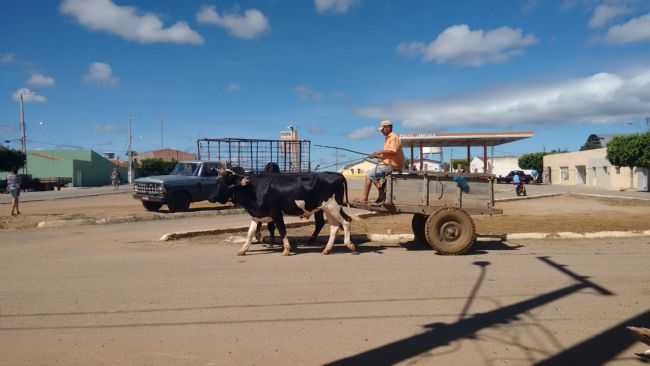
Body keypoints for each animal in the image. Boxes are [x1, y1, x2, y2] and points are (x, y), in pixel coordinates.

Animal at [213, 171, 354, 254]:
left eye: (225, 182)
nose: (214, 197)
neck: (254, 189)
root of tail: (337, 174)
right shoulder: (257, 215)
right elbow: (250, 233)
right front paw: (243, 250)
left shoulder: (276, 213)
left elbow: (282, 230)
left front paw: (286, 249)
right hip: (328, 209)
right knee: (334, 226)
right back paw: (327, 249)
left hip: (333, 207)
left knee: (346, 222)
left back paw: (350, 245)